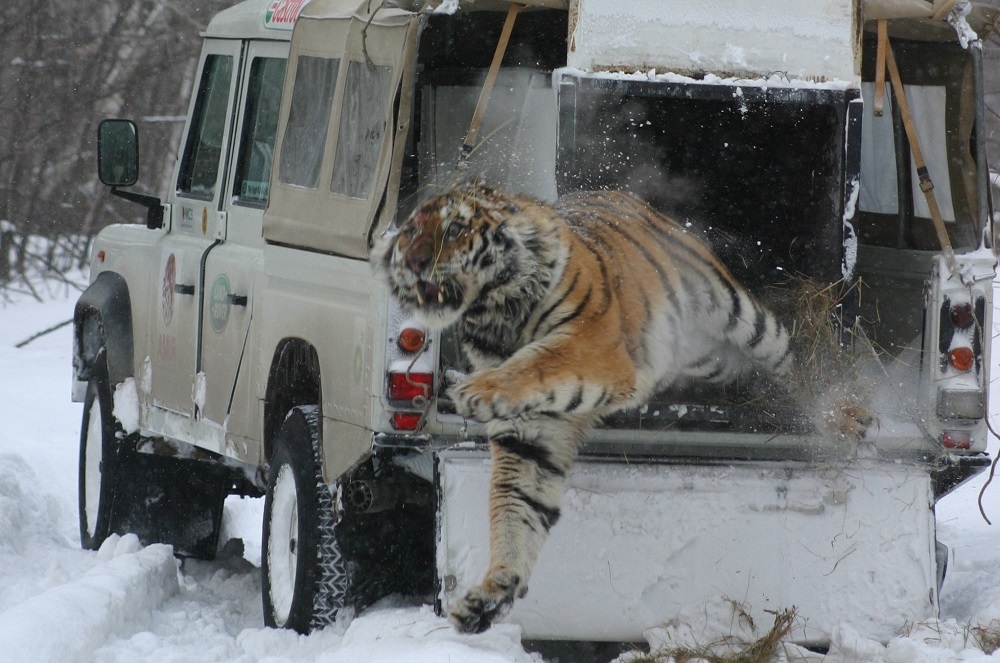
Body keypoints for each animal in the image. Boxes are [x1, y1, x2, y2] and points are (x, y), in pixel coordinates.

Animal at [372, 182, 812, 634]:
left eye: (456, 229)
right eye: (410, 232)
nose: (414, 261)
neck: (496, 313)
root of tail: (622, 195)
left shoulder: (590, 345)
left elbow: (537, 360)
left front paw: (477, 389)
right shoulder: (531, 433)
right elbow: (515, 506)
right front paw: (493, 594)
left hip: (739, 316)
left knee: (785, 353)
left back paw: (818, 402)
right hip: (705, 356)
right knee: (739, 367)